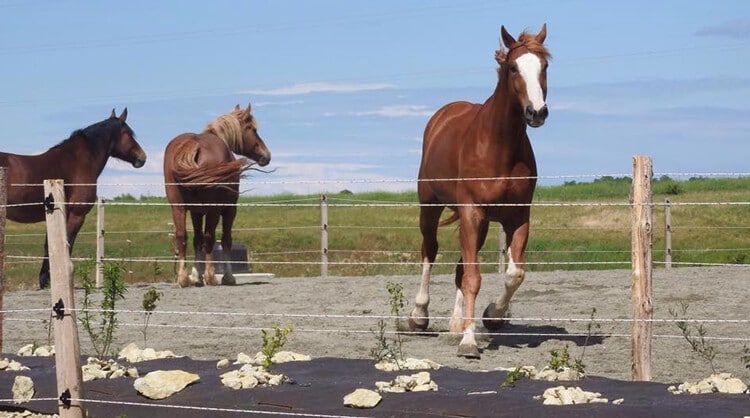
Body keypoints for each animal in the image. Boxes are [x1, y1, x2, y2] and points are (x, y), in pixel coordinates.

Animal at [0, 109, 147, 290]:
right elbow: (66, 244)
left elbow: (50, 245)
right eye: (128, 133)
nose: (142, 158)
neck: (78, 163)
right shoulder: (76, 215)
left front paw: (45, 280)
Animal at [164, 103, 274, 290]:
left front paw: (196, 276)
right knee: (210, 238)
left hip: (178, 207)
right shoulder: (229, 210)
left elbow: (197, 240)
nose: (266, 156)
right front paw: (227, 277)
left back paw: (183, 278)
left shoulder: (196, 212)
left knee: (182, 236)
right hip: (214, 210)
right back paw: (211, 276)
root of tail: (193, 144)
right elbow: (225, 240)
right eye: (252, 129)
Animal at [412, 24, 552, 358]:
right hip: (430, 208)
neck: (499, 146)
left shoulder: (517, 217)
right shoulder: (471, 212)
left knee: (461, 266)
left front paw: (491, 316)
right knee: (430, 251)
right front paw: (469, 341)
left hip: (482, 222)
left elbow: (514, 274)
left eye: (545, 66)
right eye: (513, 67)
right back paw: (419, 316)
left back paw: (456, 322)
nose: (537, 112)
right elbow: (473, 277)